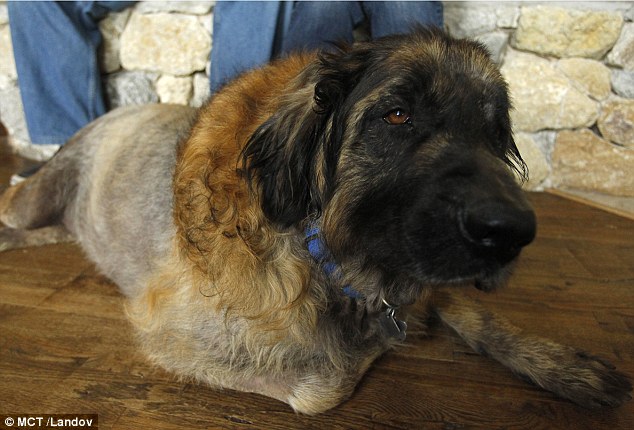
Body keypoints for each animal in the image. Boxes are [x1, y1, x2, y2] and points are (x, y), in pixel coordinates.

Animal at [0, 28, 630, 414]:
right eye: (396, 115)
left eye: (495, 132)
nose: (513, 232)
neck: (323, 252)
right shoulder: (173, 329)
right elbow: (322, 385)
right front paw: (370, 349)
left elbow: (471, 311)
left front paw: (561, 365)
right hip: (35, 196)